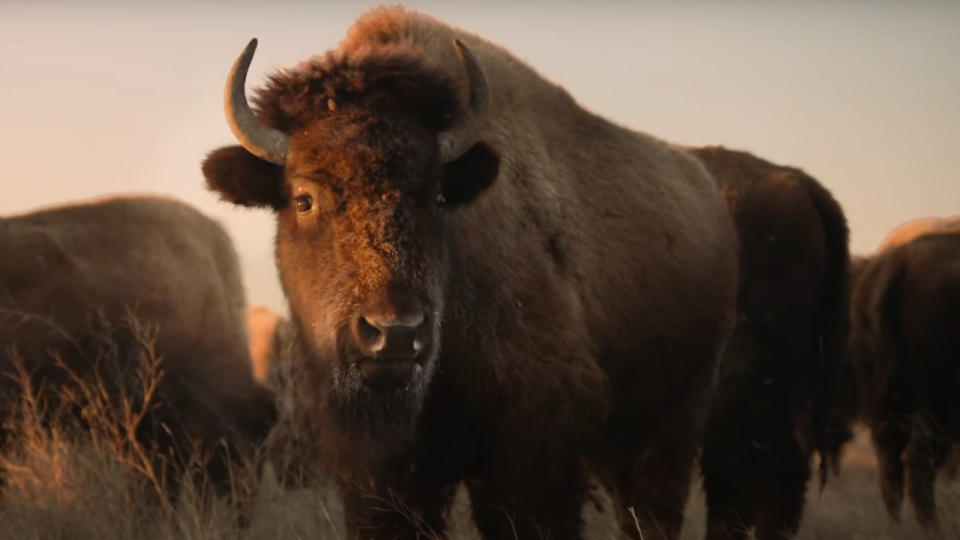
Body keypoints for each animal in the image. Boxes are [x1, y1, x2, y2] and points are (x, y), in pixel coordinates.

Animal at [204, 5, 744, 540]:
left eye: (439, 197)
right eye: (303, 199)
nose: (395, 333)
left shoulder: (530, 452)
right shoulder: (375, 470)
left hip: (672, 419)